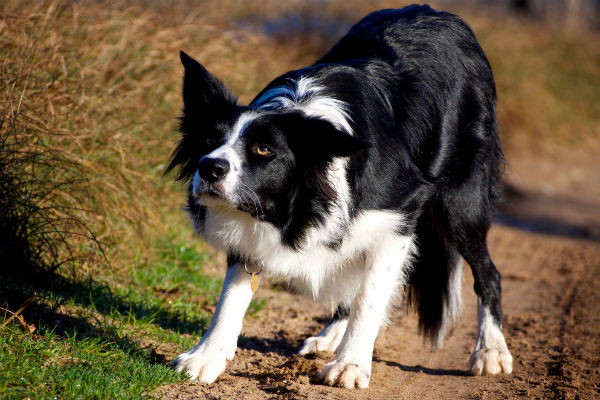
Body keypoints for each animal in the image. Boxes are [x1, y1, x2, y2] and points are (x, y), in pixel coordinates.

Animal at [168, 5, 510, 388]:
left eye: (263, 149)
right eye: (210, 140)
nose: (210, 167)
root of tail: (441, 14)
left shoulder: (397, 218)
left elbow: (369, 299)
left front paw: (350, 365)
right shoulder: (252, 219)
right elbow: (232, 294)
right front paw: (205, 356)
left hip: (461, 202)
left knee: (488, 273)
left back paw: (491, 351)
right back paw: (330, 336)